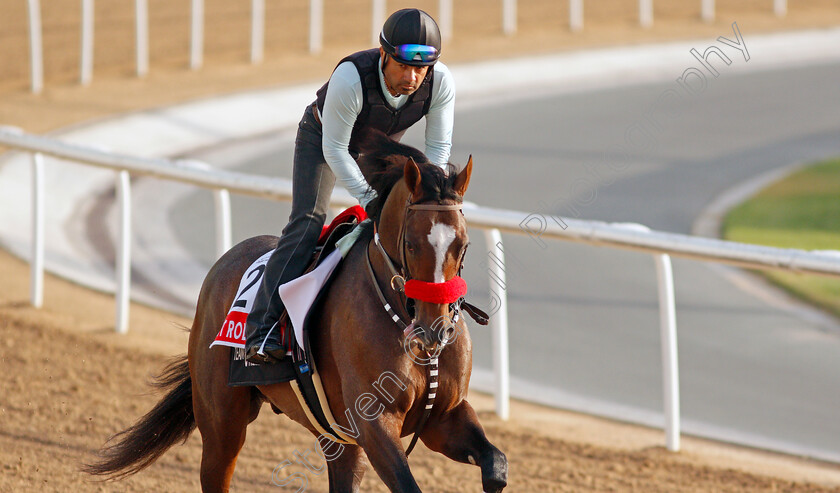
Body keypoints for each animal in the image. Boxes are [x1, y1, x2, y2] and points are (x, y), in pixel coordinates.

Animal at [83, 131, 506, 492]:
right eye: (414, 244)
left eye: (463, 245)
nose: (434, 331)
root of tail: (223, 263)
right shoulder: (375, 424)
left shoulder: (442, 418)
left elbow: (496, 465)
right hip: (223, 423)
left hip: (338, 439)